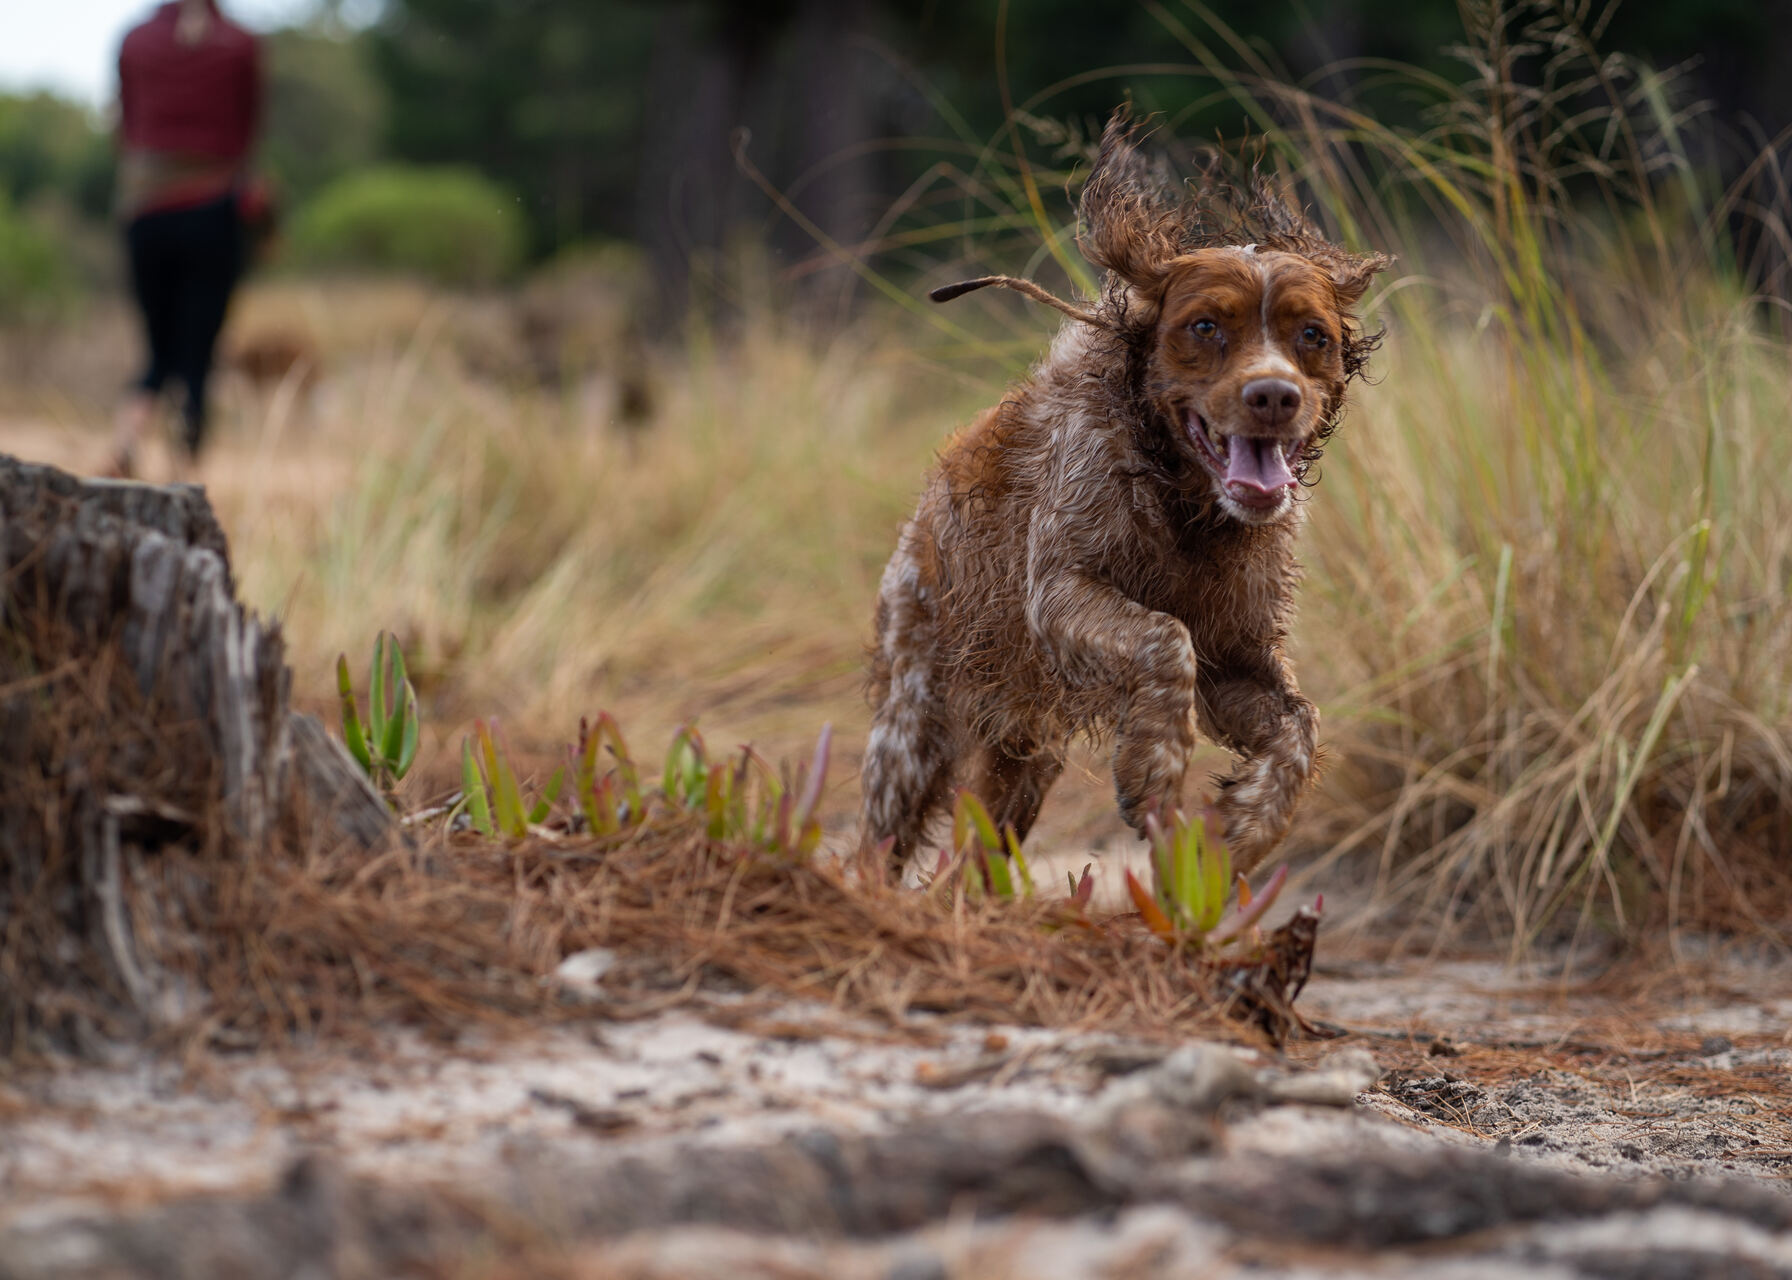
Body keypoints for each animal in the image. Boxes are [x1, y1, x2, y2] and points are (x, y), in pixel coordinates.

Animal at [860, 114, 1390, 871]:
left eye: (1311, 334)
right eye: (1205, 326)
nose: (1274, 396)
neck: (1184, 504)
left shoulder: (1237, 651)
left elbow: (1301, 725)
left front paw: (1244, 826)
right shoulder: (1061, 593)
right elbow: (1165, 638)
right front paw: (1154, 769)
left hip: (1024, 761)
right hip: (914, 729)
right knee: (878, 844)